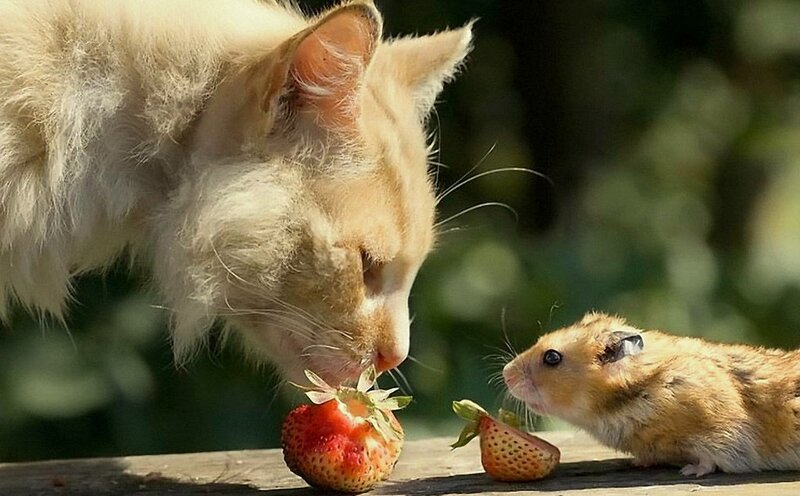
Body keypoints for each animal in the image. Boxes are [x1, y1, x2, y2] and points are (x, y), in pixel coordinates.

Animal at [503, 311, 800, 476]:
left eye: (552, 357)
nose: (505, 373)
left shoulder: (720, 431)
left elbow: (710, 458)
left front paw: (690, 471)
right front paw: (638, 463)